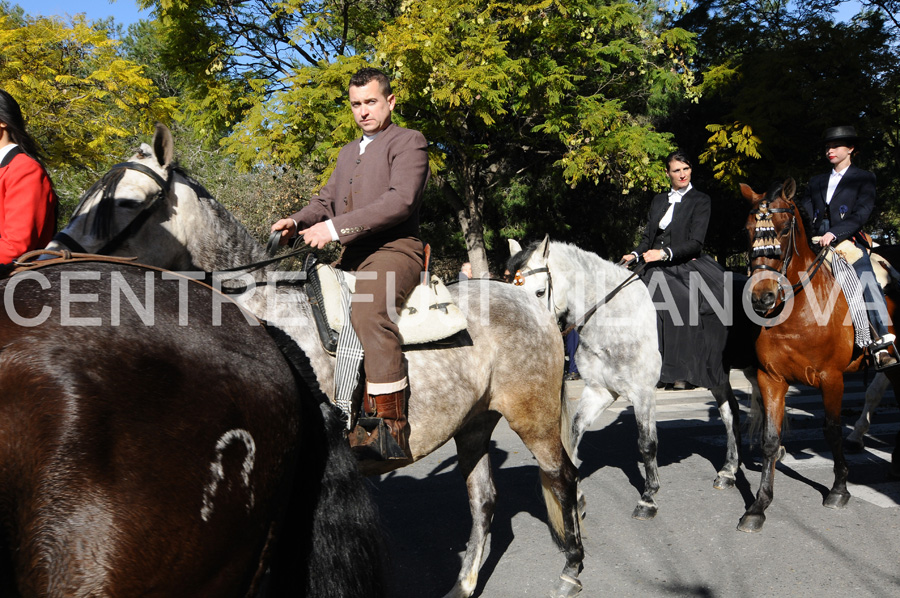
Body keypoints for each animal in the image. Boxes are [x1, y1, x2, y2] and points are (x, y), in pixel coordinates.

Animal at [45, 124, 588, 598]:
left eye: (126, 203)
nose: (50, 260)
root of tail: (530, 302)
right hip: (474, 422)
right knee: (483, 499)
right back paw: (465, 584)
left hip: (534, 419)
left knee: (562, 477)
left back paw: (571, 570)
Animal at [740, 179, 900, 536]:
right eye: (747, 229)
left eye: (784, 229)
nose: (762, 297)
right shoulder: (771, 378)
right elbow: (770, 439)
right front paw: (759, 506)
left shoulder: (832, 378)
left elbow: (832, 430)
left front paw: (839, 489)